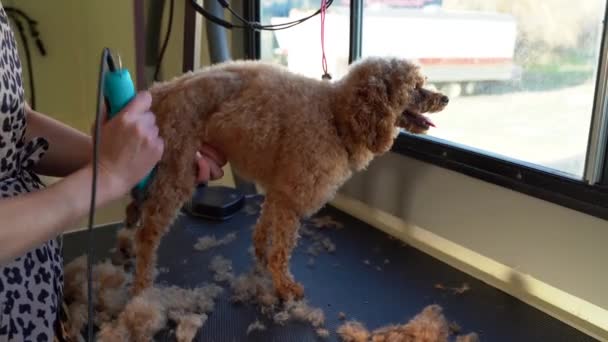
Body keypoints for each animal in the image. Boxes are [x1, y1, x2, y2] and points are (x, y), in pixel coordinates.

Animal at [121, 56, 448, 302]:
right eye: (416, 87)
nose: (444, 97)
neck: (335, 116)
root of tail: (161, 91)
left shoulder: (279, 191)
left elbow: (264, 228)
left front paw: (261, 258)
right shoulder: (292, 198)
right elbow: (282, 248)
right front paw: (284, 286)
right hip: (177, 171)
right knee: (147, 234)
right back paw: (141, 285)